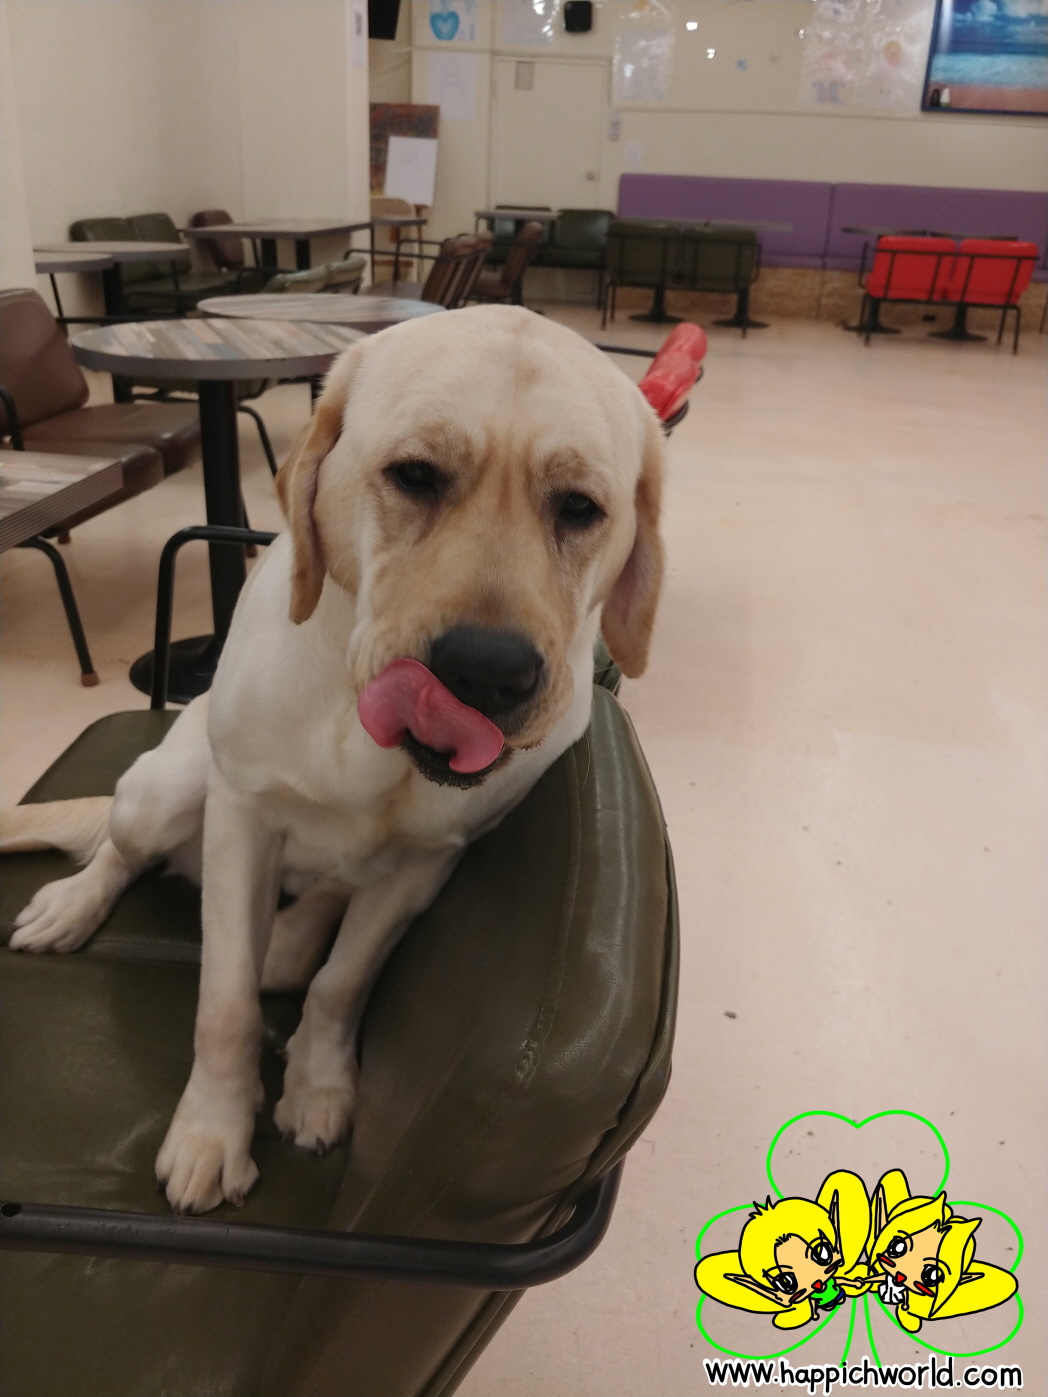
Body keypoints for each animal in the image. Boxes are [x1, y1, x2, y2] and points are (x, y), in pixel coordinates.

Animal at [1, 305, 664, 1215]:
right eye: (415, 475)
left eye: (579, 507)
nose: (486, 672)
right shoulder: (240, 822)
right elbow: (226, 1005)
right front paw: (212, 1130)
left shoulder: (426, 864)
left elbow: (341, 982)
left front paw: (317, 1085)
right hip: (165, 791)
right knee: (116, 847)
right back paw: (73, 904)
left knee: (305, 930)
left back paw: (296, 929)